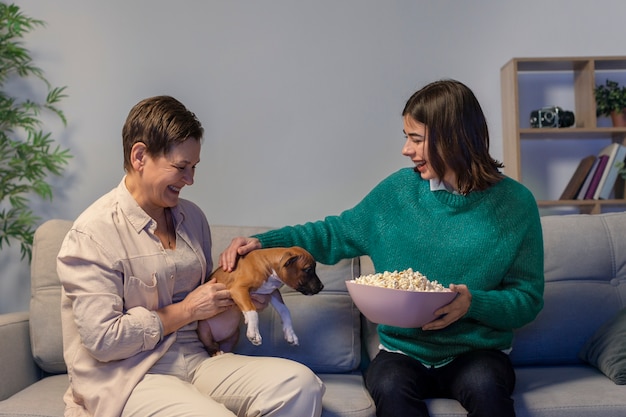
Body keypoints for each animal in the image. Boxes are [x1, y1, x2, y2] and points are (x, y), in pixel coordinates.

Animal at [196, 245, 324, 356]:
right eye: (308, 270)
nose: (322, 286)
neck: (269, 267)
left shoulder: (272, 292)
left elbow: (285, 310)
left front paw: (290, 334)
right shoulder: (238, 289)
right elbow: (252, 311)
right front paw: (253, 332)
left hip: (234, 336)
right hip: (203, 330)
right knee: (209, 345)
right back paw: (216, 352)